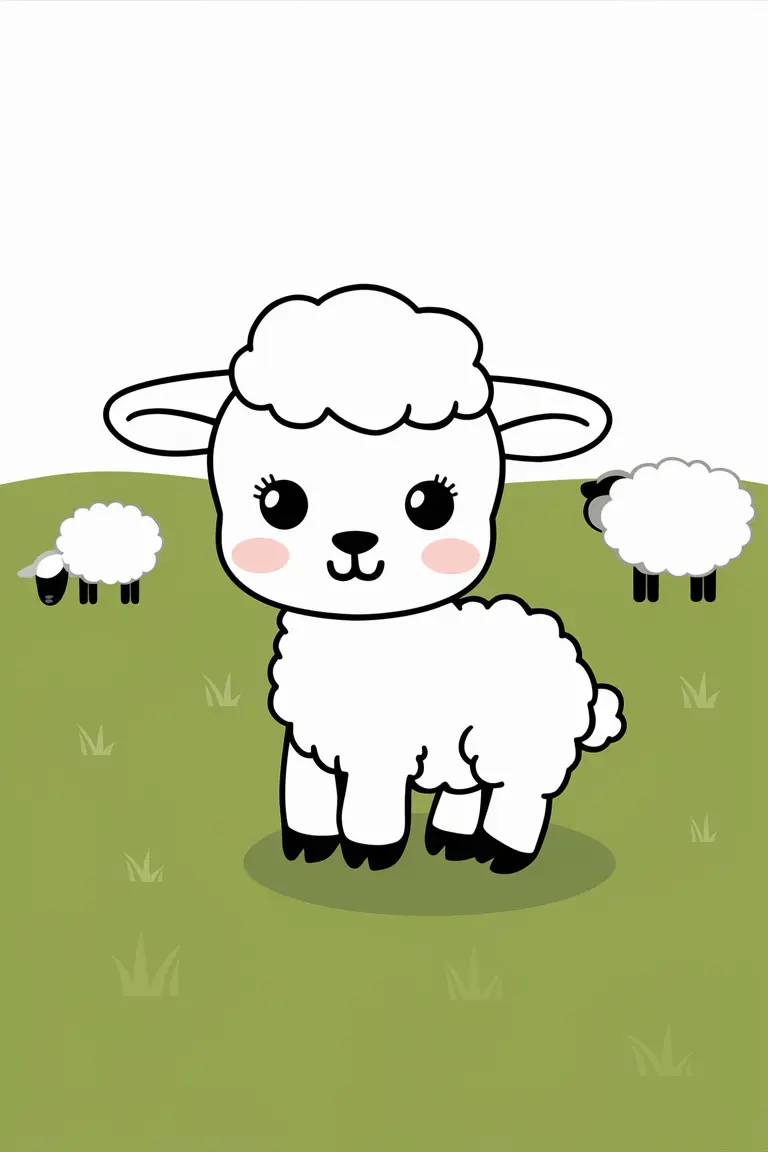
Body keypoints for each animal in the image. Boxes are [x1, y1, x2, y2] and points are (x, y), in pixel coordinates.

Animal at [17, 502, 163, 606]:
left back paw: (129, 600)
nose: (48, 600)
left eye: (58, 579)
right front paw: (86, 601)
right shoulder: (83, 572)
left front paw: (91, 601)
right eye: (37, 581)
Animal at [104, 284, 625, 873]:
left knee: (522, 796)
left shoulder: (381, 748)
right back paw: (451, 842)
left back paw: (501, 855)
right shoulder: (306, 743)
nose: (355, 541)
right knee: (467, 788)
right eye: (278, 501)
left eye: (432, 503)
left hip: (521, 742)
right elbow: (303, 797)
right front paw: (307, 848)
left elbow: (367, 810)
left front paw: (369, 856)